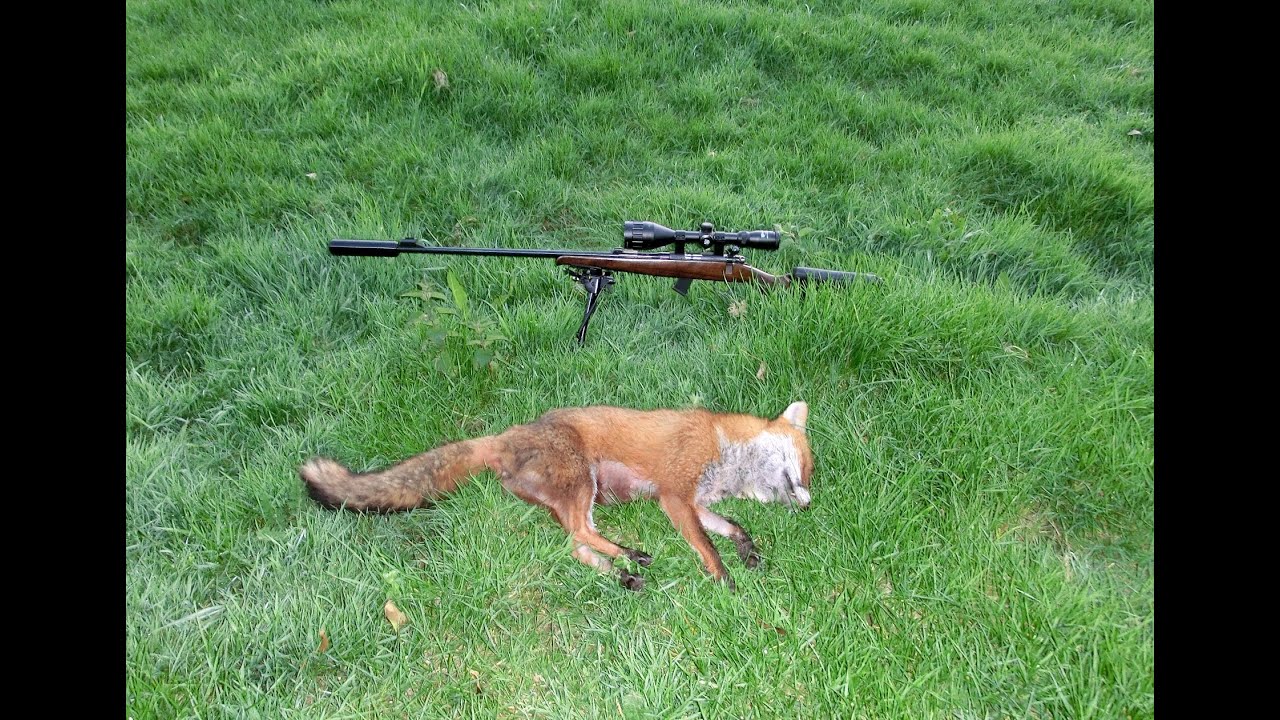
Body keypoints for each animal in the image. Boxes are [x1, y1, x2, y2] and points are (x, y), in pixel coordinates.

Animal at [300, 401, 813, 590]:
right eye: (807, 467)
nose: (808, 503)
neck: (725, 452)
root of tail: (505, 436)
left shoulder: (695, 503)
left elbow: (731, 526)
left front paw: (746, 548)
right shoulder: (674, 496)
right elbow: (707, 546)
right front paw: (723, 577)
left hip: (568, 497)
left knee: (573, 544)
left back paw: (620, 570)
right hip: (583, 483)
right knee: (579, 533)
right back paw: (626, 558)